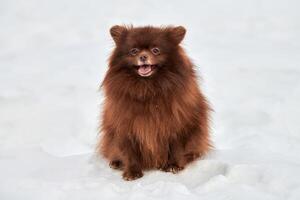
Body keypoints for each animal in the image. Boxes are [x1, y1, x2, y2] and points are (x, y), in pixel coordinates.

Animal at [99, 25, 211, 181]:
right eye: (134, 51)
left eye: (155, 50)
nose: (143, 57)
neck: (147, 88)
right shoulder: (125, 126)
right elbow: (129, 151)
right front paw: (132, 172)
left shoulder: (178, 124)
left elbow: (176, 147)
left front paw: (173, 165)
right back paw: (116, 162)